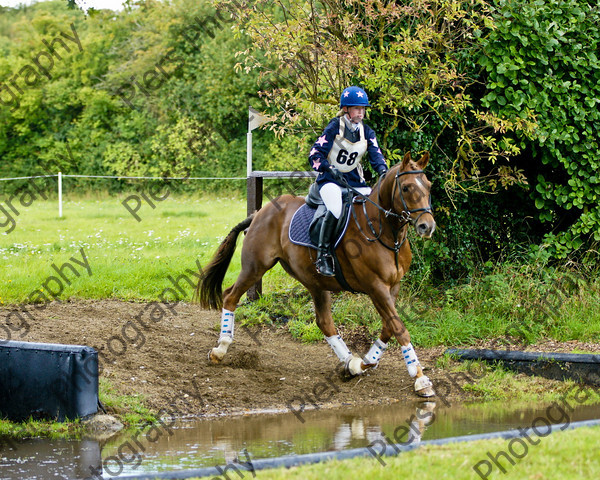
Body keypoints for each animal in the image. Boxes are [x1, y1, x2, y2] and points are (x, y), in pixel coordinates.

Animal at [197, 153, 436, 398]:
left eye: (428, 185)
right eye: (406, 187)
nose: (427, 226)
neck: (384, 232)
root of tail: (260, 212)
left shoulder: (392, 285)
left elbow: (389, 327)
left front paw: (364, 363)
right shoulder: (375, 286)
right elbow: (399, 329)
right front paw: (420, 379)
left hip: (314, 280)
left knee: (324, 321)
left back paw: (349, 362)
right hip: (255, 267)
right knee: (230, 297)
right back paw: (220, 349)